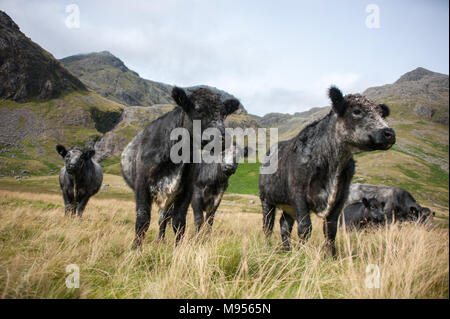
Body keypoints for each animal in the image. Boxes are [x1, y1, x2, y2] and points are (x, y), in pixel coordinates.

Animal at [119, 87, 239, 250]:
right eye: (198, 109)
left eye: (224, 113)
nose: (221, 137)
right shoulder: (141, 185)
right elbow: (143, 219)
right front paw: (135, 249)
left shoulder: (187, 189)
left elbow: (179, 222)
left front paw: (177, 249)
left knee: (164, 219)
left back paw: (161, 241)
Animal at [258, 86, 396, 256]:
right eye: (357, 111)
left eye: (381, 114)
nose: (389, 133)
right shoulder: (298, 194)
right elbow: (305, 227)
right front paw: (301, 255)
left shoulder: (340, 197)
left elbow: (330, 230)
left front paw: (332, 256)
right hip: (267, 199)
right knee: (268, 225)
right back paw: (267, 247)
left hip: (288, 207)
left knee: (284, 225)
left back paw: (287, 250)